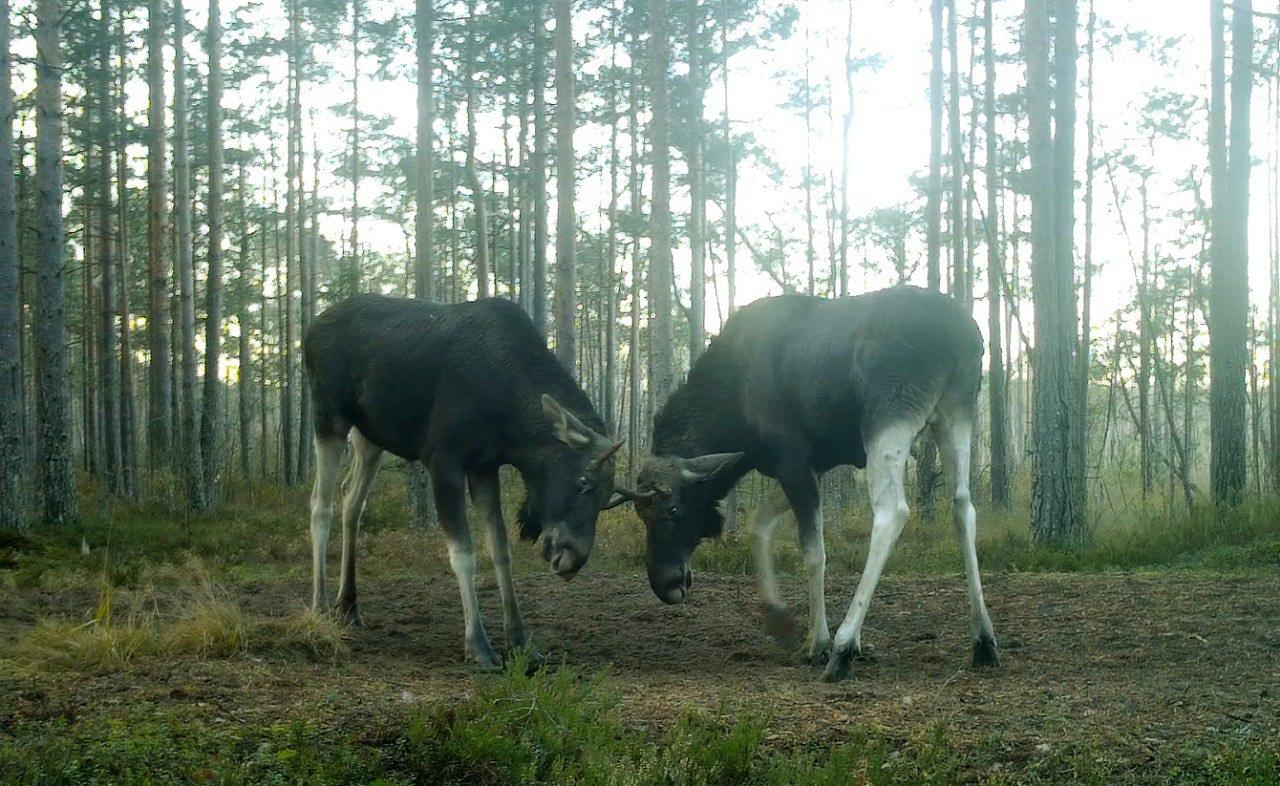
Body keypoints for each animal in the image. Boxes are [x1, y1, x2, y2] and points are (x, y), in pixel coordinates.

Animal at [299, 296, 619, 670]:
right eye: (582, 481)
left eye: (607, 498)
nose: (574, 558)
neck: (509, 419)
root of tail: (310, 329)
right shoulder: (443, 460)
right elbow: (464, 554)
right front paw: (478, 644)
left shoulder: (484, 466)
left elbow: (500, 548)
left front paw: (520, 640)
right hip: (329, 417)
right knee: (321, 505)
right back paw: (321, 605)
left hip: (370, 436)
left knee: (352, 502)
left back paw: (349, 605)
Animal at [616, 288, 998, 686]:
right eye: (642, 517)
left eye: (672, 510)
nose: (665, 583)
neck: (732, 413)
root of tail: (962, 335)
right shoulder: (813, 462)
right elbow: (760, 524)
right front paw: (779, 618)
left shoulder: (792, 457)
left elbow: (813, 553)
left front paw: (819, 641)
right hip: (956, 413)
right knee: (963, 506)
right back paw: (983, 639)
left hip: (889, 416)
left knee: (892, 513)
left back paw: (845, 646)